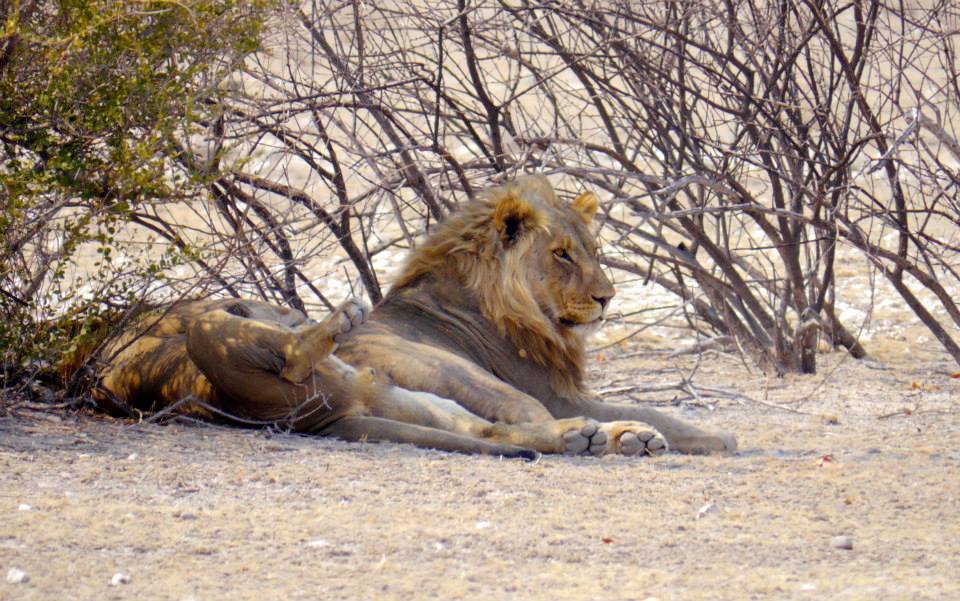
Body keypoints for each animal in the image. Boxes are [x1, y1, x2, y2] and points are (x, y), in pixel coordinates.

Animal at [90, 176, 736, 458]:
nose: (607, 298)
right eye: (561, 254)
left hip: (415, 398)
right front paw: (716, 435)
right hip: (459, 377)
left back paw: (616, 440)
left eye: (594, 251)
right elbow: (658, 408)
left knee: (493, 431)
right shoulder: (556, 391)